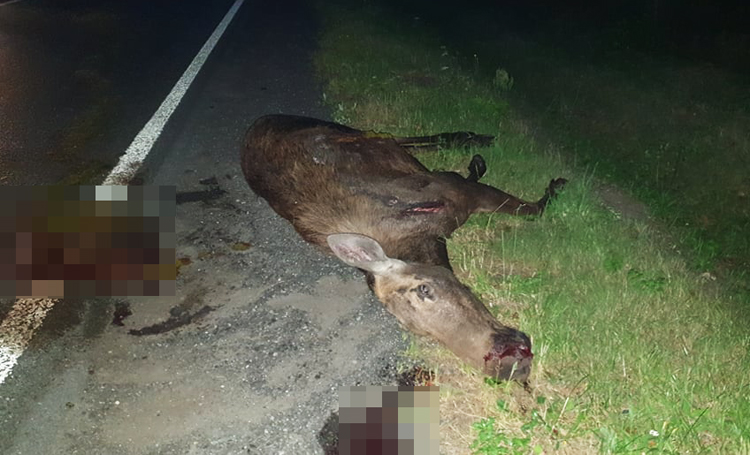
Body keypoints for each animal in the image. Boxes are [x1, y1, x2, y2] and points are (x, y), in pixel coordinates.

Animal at [244, 114, 568, 382]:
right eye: (421, 332)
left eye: (425, 289)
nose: (508, 365)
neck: (424, 236)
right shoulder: (459, 194)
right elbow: (532, 209)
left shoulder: (456, 190)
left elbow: (532, 209)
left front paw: (555, 186)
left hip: (350, 132)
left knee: (396, 137)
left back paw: (474, 144)